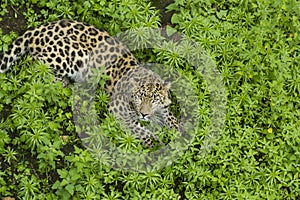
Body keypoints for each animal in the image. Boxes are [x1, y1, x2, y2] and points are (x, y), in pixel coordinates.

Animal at [0, 19, 179, 147]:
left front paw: (179, 133)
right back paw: (62, 83)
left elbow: (172, 119)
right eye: (140, 97)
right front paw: (153, 142)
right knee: (35, 64)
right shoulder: (117, 110)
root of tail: (41, 27)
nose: (144, 114)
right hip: (69, 55)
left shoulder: (163, 109)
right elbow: (137, 127)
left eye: (154, 99)